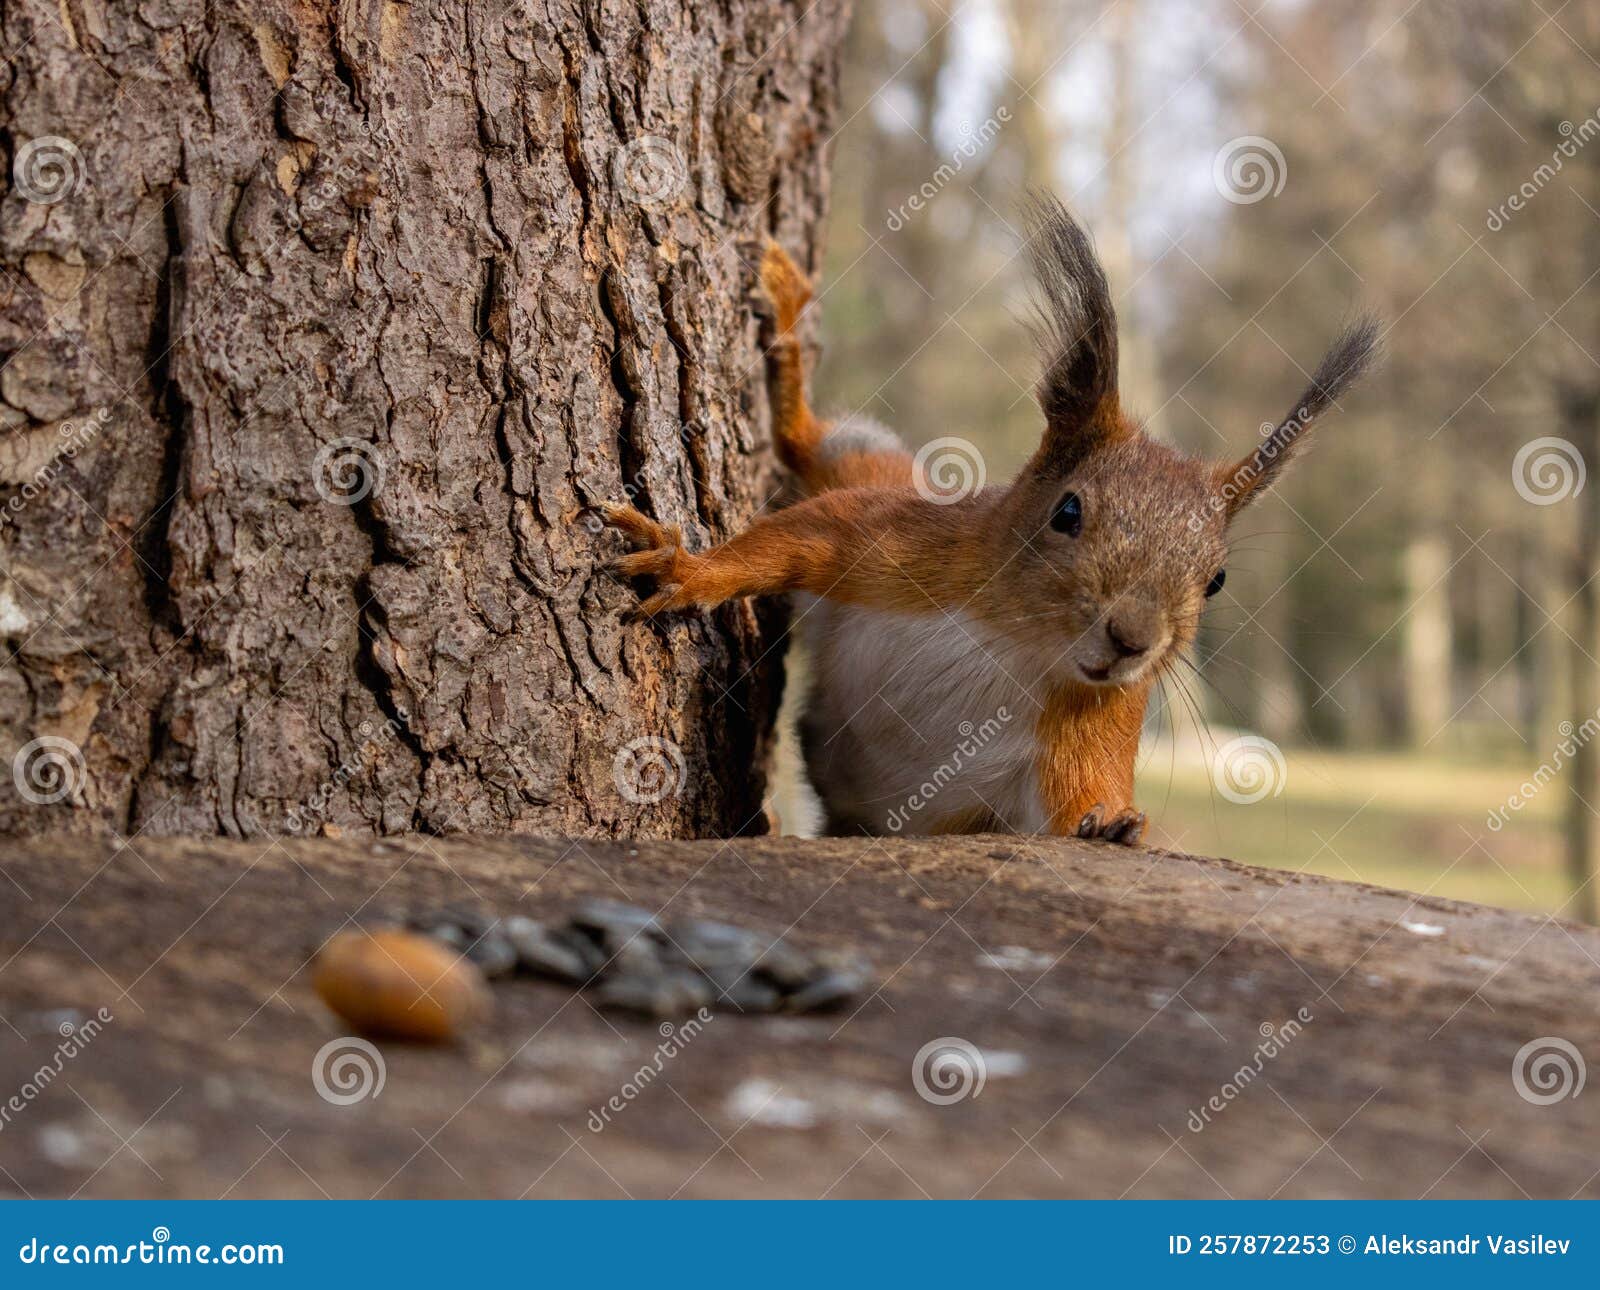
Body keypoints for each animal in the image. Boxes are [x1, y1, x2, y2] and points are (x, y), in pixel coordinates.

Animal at [601, 196, 1376, 851]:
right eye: (1068, 512)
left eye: (1216, 579)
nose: (1132, 641)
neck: (1023, 646)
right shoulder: (905, 546)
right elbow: (801, 538)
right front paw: (689, 570)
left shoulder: (1093, 731)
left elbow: (1076, 805)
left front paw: (1114, 825)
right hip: (868, 461)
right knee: (810, 442)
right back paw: (788, 324)